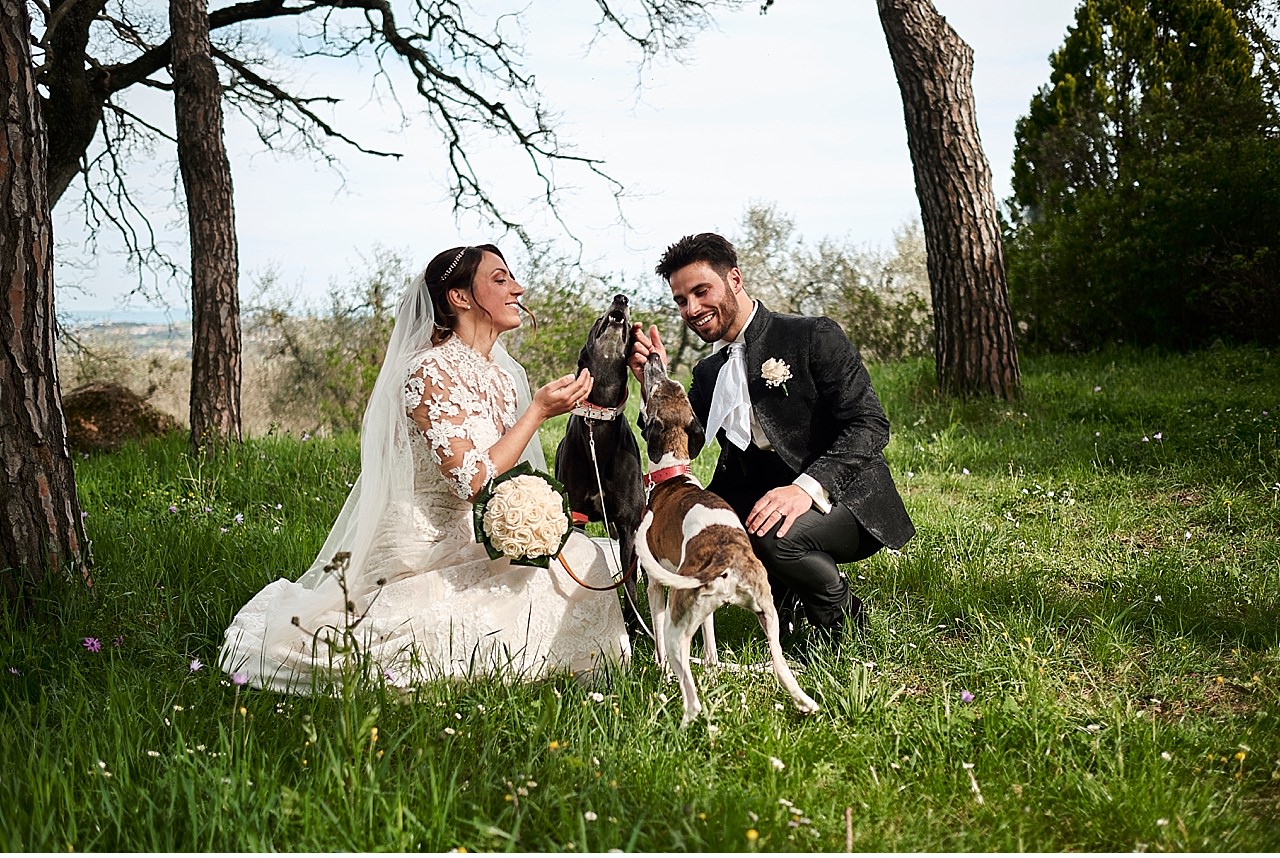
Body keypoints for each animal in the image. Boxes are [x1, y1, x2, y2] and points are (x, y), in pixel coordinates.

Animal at [632, 353, 819, 727]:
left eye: (654, 388)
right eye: (672, 387)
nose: (654, 357)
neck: (673, 475)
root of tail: (728, 560)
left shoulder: (657, 588)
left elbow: (658, 643)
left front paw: (661, 672)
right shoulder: (705, 614)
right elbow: (712, 650)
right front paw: (712, 668)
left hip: (677, 627)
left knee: (691, 698)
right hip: (769, 619)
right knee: (780, 667)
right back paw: (804, 702)